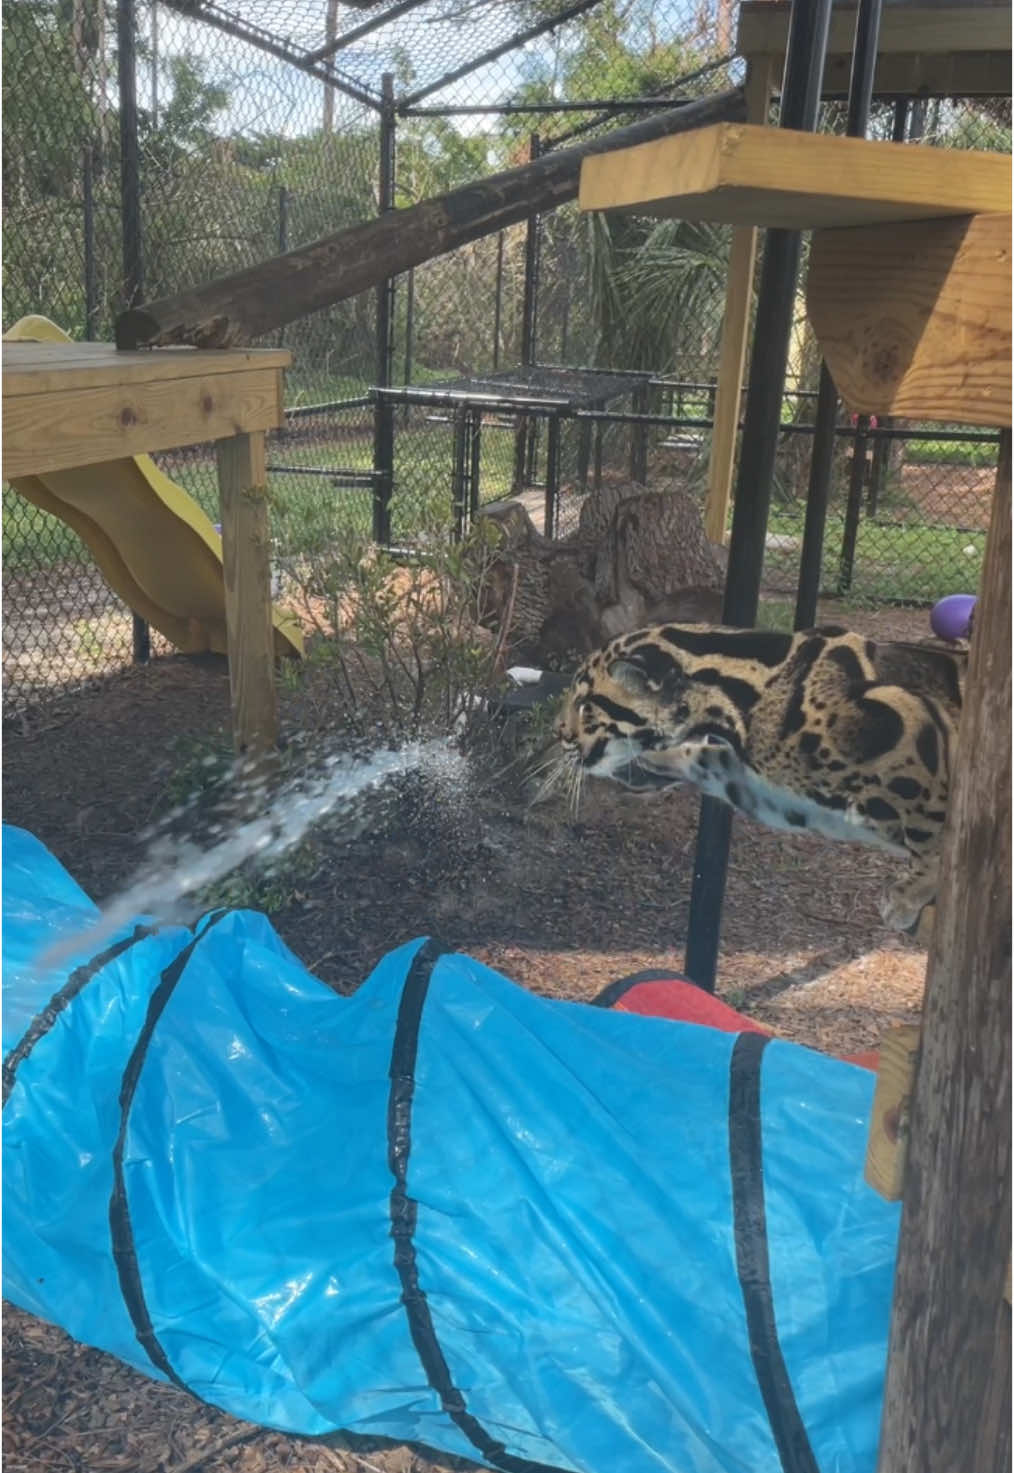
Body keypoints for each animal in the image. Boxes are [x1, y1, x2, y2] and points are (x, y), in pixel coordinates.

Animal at [557, 624, 960, 930]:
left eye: (585, 705)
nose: (557, 732)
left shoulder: (917, 732)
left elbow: (934, 839)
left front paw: (908, 895)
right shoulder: (780, 795)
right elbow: (704, 761)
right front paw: (649, 761)